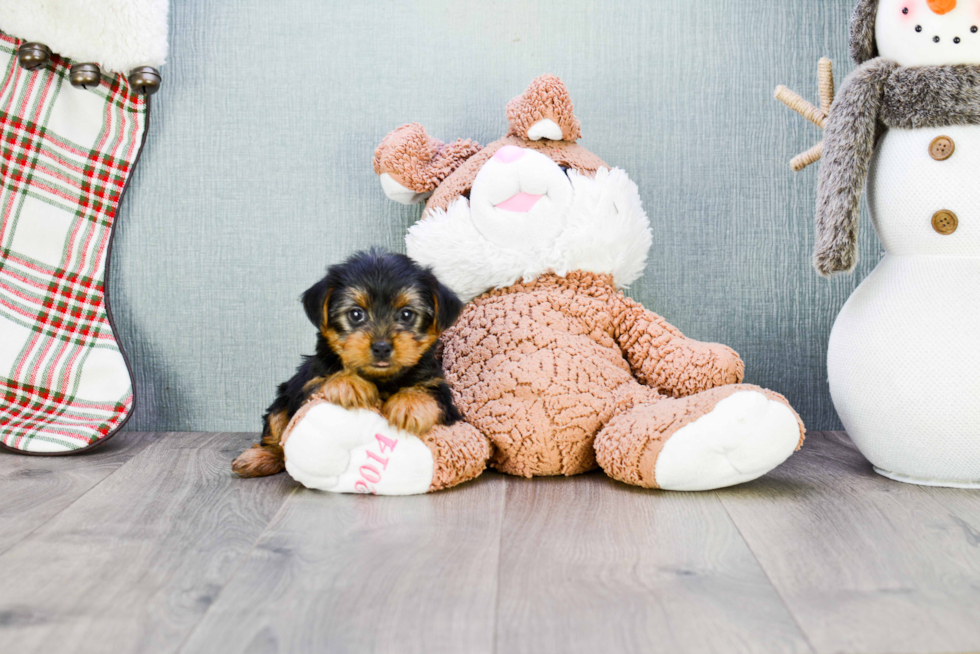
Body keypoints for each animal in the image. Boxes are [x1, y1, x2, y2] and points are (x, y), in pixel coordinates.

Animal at [237, 249, 468, 480]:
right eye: (356, 314)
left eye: (406, 314)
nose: (381, 347)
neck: (382, 379)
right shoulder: (307, 384)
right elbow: (322, 380)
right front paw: (349, 383)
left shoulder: (443, 397)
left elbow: (432, 393)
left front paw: (410, 404)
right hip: (284, 397)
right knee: (277, 428)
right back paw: (260, 458)